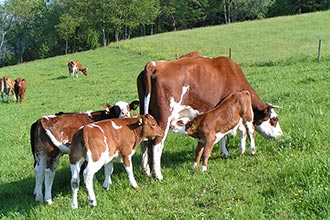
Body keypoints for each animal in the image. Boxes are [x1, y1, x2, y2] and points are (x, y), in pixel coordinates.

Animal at [137, 52, 284, 180]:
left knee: (144, 142)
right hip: (163, 119)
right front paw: (246, 150)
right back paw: (158, 175)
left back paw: (147, 171)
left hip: (146, 116)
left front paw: (225, 152)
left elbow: (225, 131)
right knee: (157, 143)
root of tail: (154, 64)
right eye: (274, 119)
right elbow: (243, 129)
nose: (281, 136)